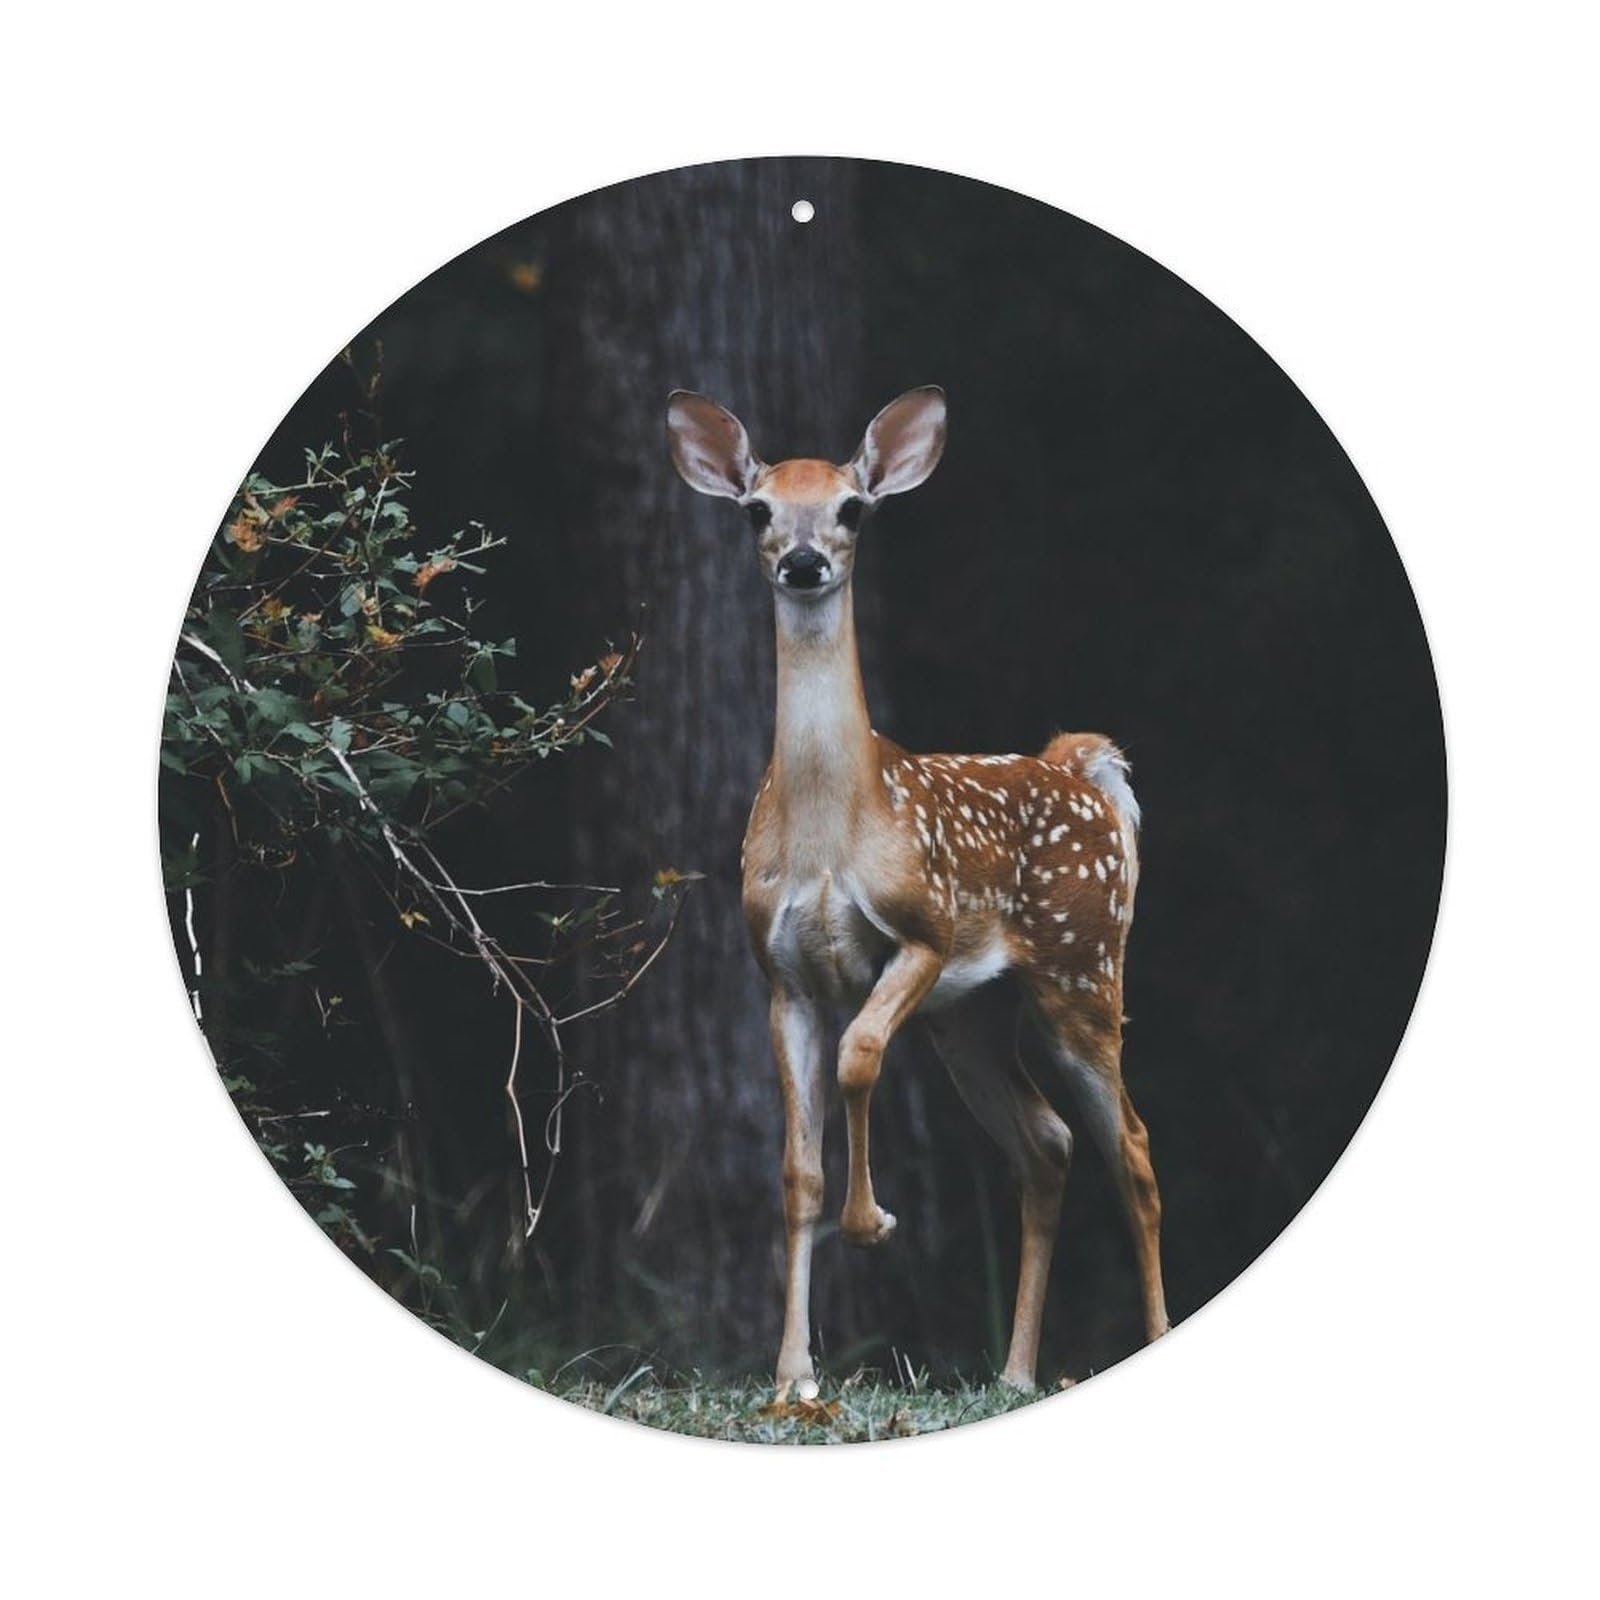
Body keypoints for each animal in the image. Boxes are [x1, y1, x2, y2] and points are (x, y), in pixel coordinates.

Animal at [666, 386, 1169, 1392]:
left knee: (1131, 1148)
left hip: (1083, 969)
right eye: (757, 511)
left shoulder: (923, 932)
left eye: (854, 508)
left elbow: (860, 1056)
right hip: (971, 1016)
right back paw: (1014, 1372)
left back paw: (1150, 1340)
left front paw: (873, 1224)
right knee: (1048, 1143)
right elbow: (797, 1170)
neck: (832, 830)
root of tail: (1082, 770)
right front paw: (794, 1375)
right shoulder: (781, 976)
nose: (807, 562)